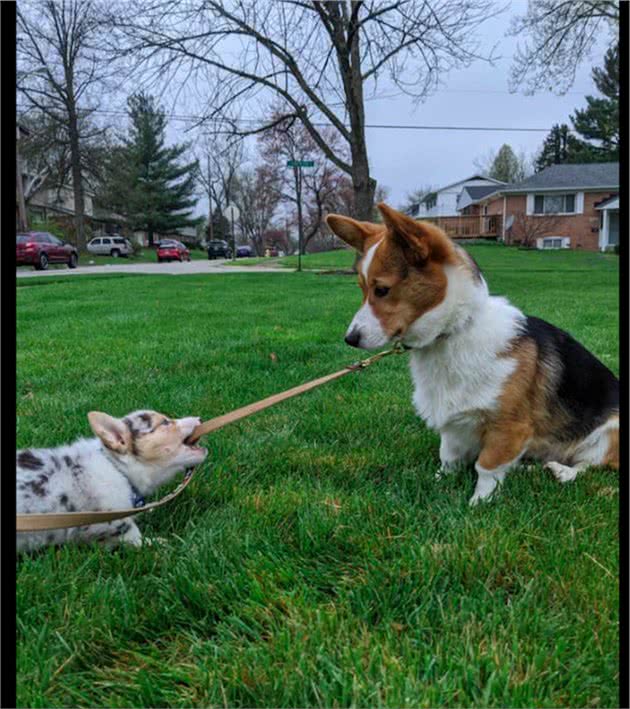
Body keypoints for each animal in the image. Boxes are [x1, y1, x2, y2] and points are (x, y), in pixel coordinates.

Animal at [16, 410, 207, 552]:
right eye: (165, 423)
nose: (200, 418)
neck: (117, 468)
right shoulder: (107, 522)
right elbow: (134, 536)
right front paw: (167, 543)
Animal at [328, 203, 620, 504]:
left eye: (382, 290)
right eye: (362, 289)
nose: (350, 338)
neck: (454, 332)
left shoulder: (508, 428)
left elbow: (487, 466)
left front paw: (480, 502)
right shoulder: (454, 428)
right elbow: (449, 458)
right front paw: (437, 481)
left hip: (613, 430)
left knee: (592, 464)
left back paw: (563, 472)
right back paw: (530, 468)